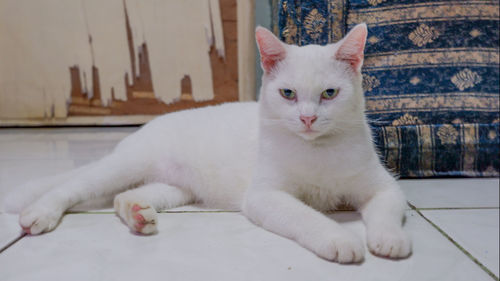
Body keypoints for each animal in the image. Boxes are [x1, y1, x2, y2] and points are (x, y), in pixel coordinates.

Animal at [3, 24, 410, 262]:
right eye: (288, 94)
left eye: (329, 93)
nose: (308, 119)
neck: (317, 149)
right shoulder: (265, 196)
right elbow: (306, 215)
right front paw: (339, 238)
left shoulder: (384, 187)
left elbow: (387, 209)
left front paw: (389, 240)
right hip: (122, 166)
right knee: (72, 186)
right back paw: (41, 213)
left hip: (176, 188)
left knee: (125, 195)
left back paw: (137, 213)